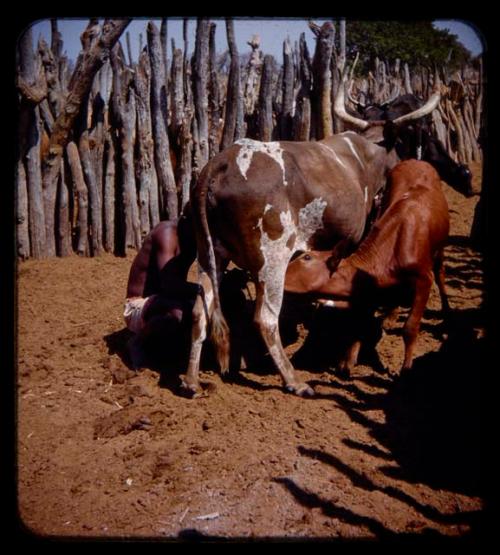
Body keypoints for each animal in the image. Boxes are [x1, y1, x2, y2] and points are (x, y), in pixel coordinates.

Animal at [284, 161, 452, 378]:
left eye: (307, 257)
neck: (393, 247)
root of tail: (417, 161)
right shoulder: (369, 287)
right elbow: (360, 323)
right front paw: (347, 361)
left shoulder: (423, 279)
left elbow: (410, 327)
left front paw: (406, 368)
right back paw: (390, 317)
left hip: (439, 249)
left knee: (441, 273)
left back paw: (446, 314)